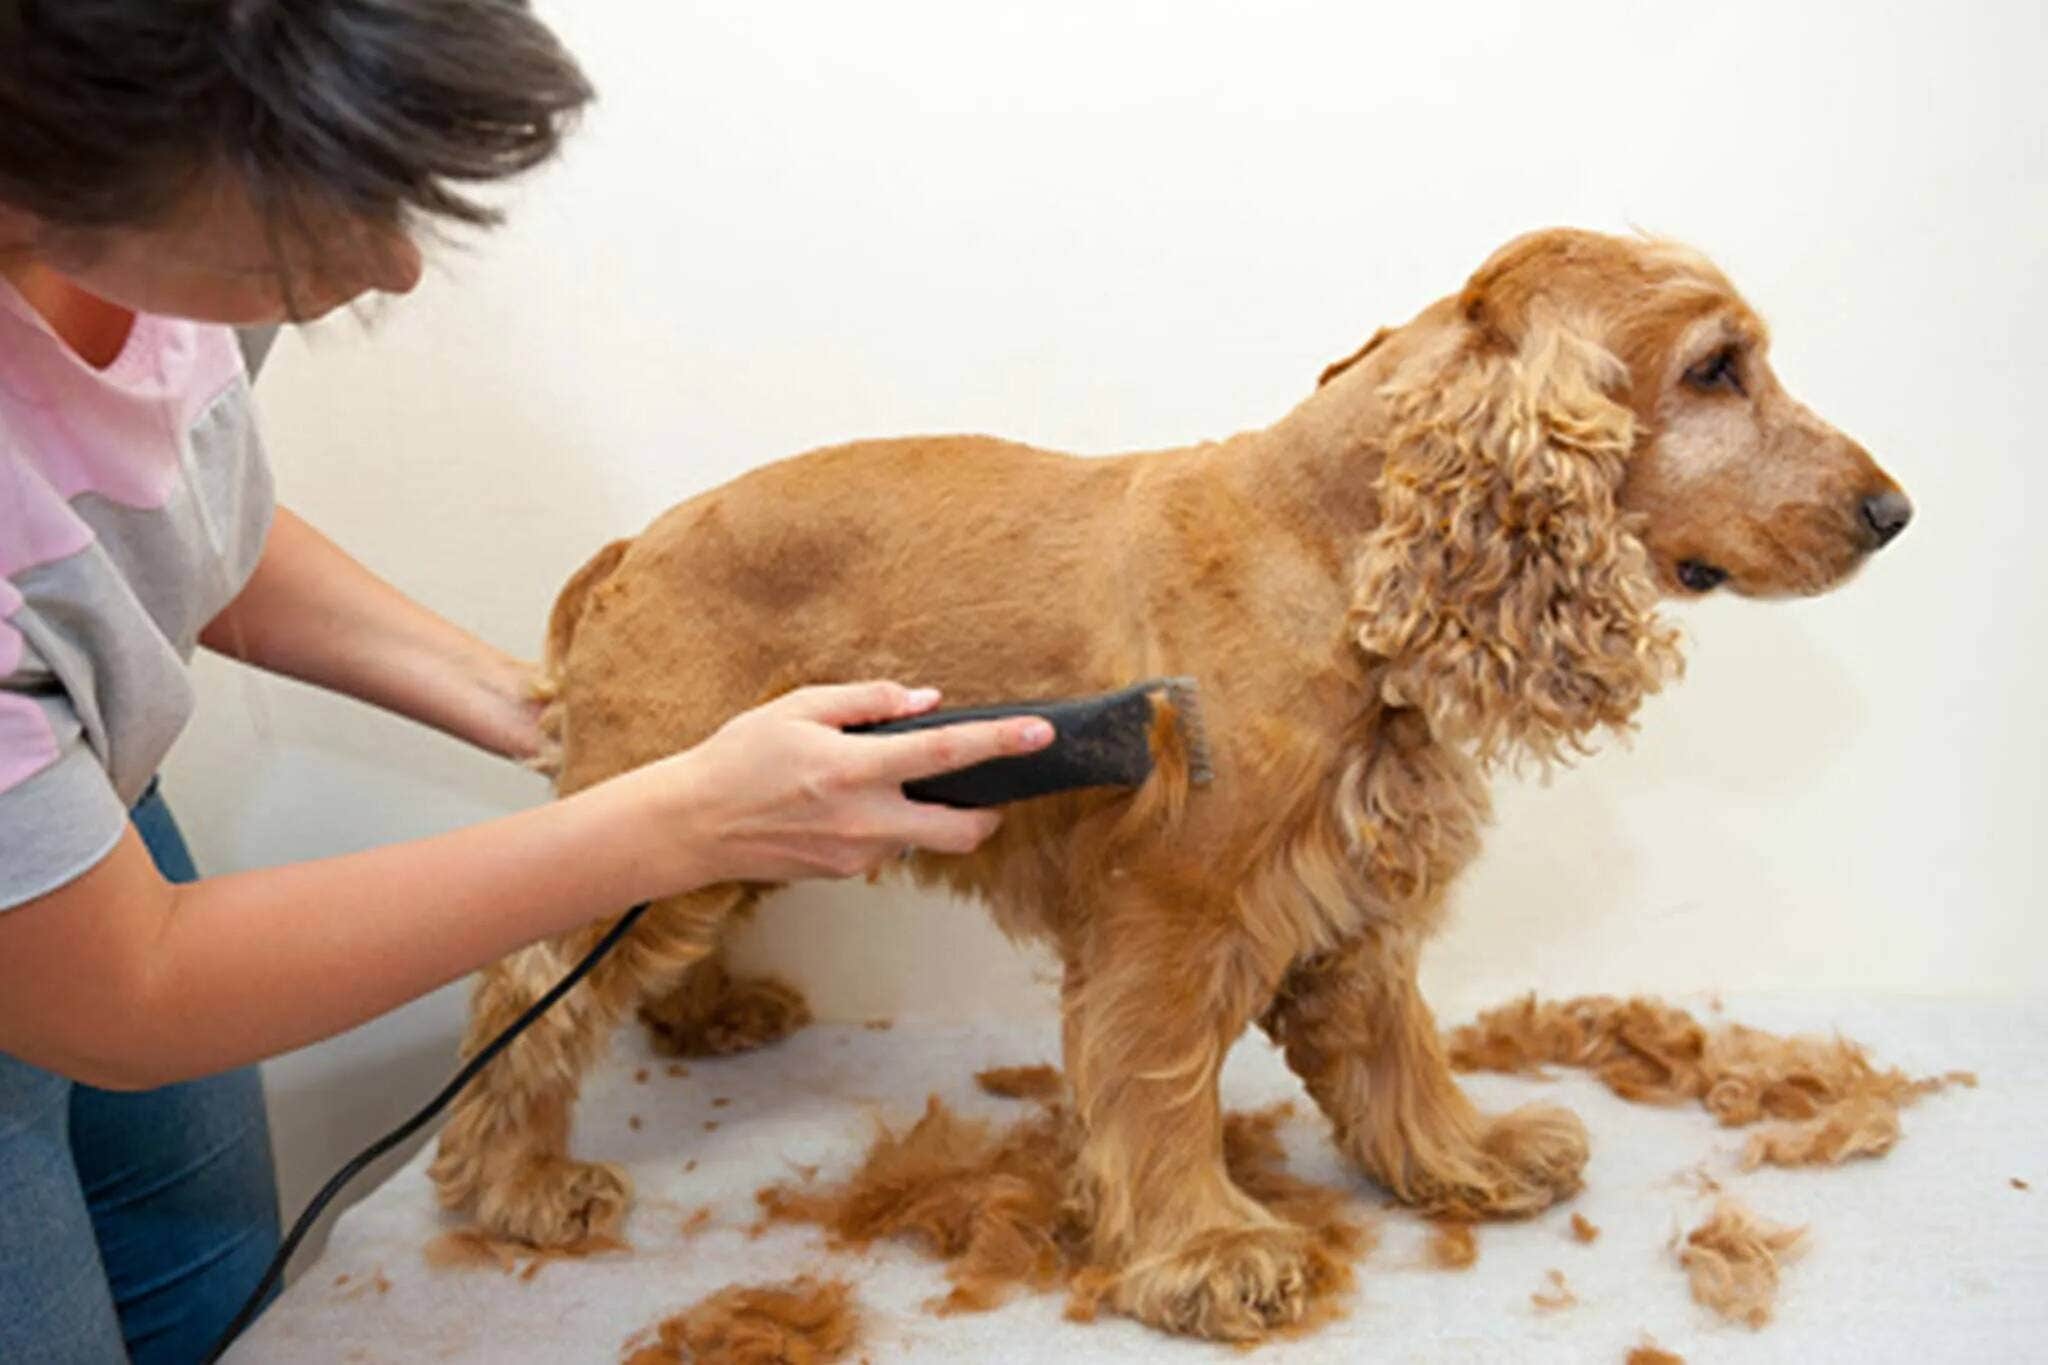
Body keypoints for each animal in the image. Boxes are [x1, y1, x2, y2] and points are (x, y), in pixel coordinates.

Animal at [423, 229, 1908, 1342]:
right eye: (1716, 369)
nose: (1893, 513)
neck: (1334, 548)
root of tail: (633, 545)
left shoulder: (1352, 897)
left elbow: (1395, 1048)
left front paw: (1462, 1158)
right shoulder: (1170, 915)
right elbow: (1158, 1086)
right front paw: (1208, 1251)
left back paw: (711, 1017)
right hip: (662, 805)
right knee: (527, 992)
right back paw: (517, 1185)